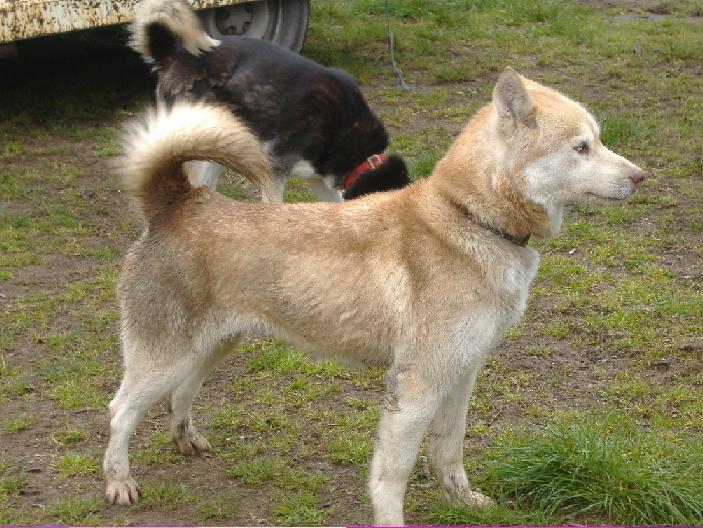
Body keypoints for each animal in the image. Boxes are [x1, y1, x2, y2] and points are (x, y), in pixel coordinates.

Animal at [102, 67, 648, 524]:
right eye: (581, 147)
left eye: (598, 140)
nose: (640, 176)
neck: (471, 218)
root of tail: (178, 203)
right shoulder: (417, 384)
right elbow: (393, 472)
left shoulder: (461, 373)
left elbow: (449, 450)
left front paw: (463, 501)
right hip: (164, 355)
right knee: (121, 409)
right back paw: (119, 483)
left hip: (213, 344)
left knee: (181, 394)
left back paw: (186, 441)